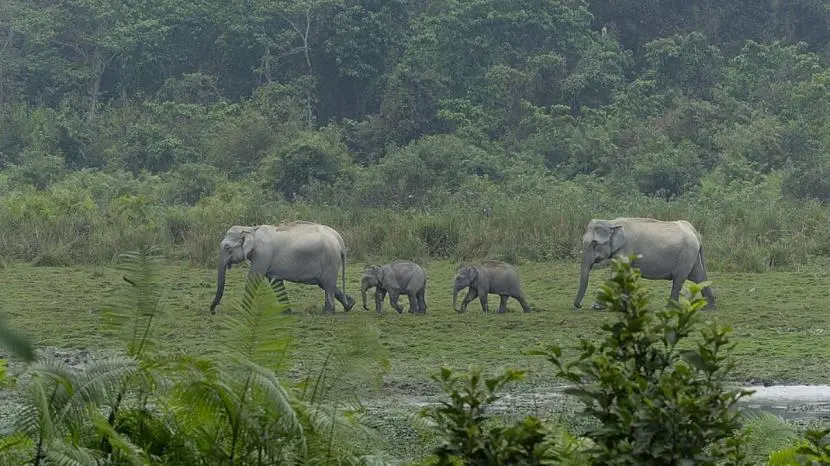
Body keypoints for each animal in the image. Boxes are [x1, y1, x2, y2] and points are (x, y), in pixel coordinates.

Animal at [209, 221, 356, 315]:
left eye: (228, 248)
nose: (213, 311)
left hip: (330, 260)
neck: (251, 230)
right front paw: (287, 312)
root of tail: (339, 240)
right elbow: (275, 282)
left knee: (328, 284)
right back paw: (350, 305)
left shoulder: (262, 254)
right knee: (325, 283)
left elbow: (254, 278)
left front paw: (242, 311)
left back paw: (328, 313)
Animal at [573, 217, 716, 310]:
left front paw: (597, 307)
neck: (611, 222)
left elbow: (616, 273)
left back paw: (669, 307)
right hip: (691, 255)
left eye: (594, 243)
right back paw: (709, 308)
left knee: (679, 280)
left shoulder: (626, 249)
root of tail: (695, 232)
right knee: (699, 277)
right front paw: (626, 304)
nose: (579, 306)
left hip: (686, 255)